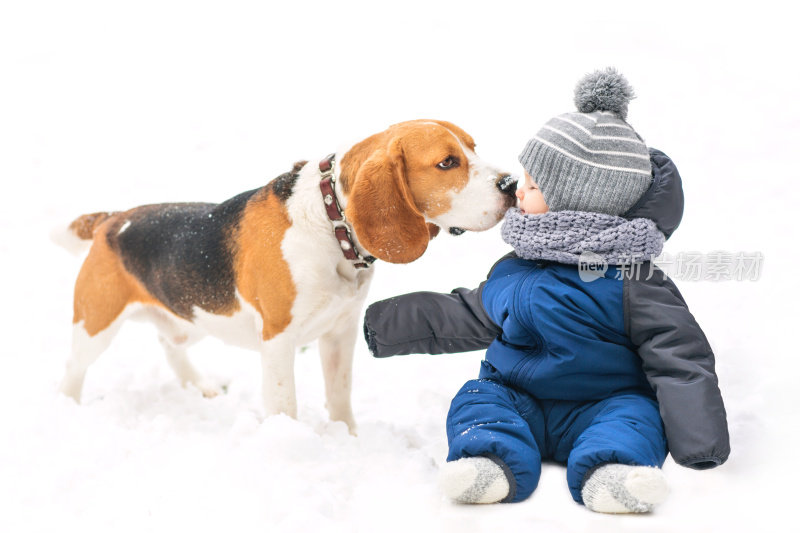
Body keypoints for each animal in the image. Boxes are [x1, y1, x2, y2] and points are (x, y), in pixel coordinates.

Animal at [59, 118, 516, 430]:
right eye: (447, 162)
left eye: (474, 148)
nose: (511, 184)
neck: (332, 224)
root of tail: (112, 221)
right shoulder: (278, 339)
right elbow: (285, 404)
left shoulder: (341, 332)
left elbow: (340, 394)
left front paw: (347, 439)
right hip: (94, 325)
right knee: (72, 374)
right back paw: (70, 409)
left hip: (192, 319)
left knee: (170, 345)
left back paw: (199, 387)